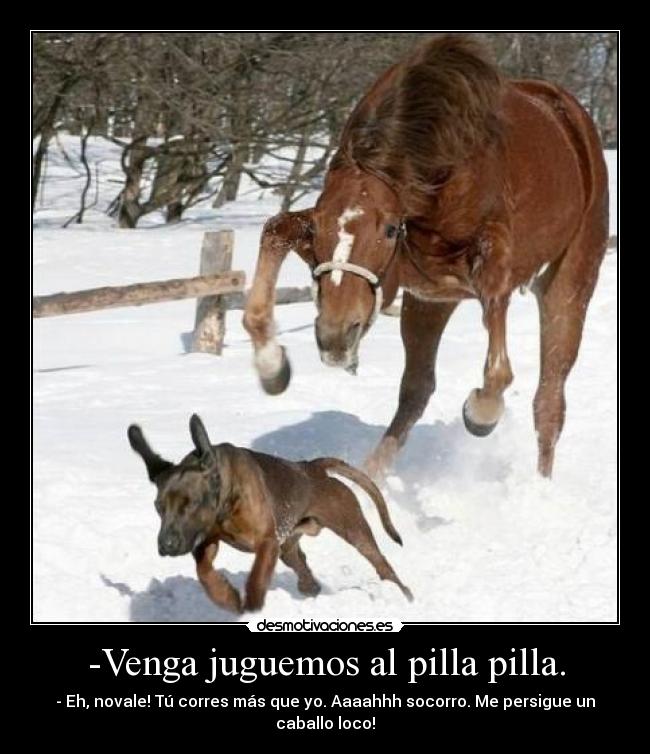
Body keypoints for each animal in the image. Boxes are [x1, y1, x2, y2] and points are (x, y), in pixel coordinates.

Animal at [243, 34, 609, 480]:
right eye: (320, 228)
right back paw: (370, 476)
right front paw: (272, 366)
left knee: (550, 399)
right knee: (416, 390)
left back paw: (539, 483)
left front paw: (480, 413)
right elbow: (274, 231)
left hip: (568, 284)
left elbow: (498, 369)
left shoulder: (491, 259)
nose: (335, 336)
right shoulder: (405, 272)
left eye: (388, 229)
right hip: (429, 303)